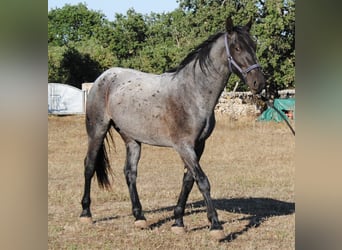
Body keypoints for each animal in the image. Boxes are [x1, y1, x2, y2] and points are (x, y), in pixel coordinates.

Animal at [79, 16, 264, 239]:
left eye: (254, 46)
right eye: (237, 47)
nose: (259, 82)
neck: (192, 93)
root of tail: (104, 77)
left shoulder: (198, 146)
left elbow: (188, 181)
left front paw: (178, 222)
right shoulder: (184, 146)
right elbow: (203, 181)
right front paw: (216, 226)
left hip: (132, 139)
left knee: (130, 173)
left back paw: (139, 217)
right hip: (97, 131)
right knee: (89, 166)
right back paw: (86, 214)